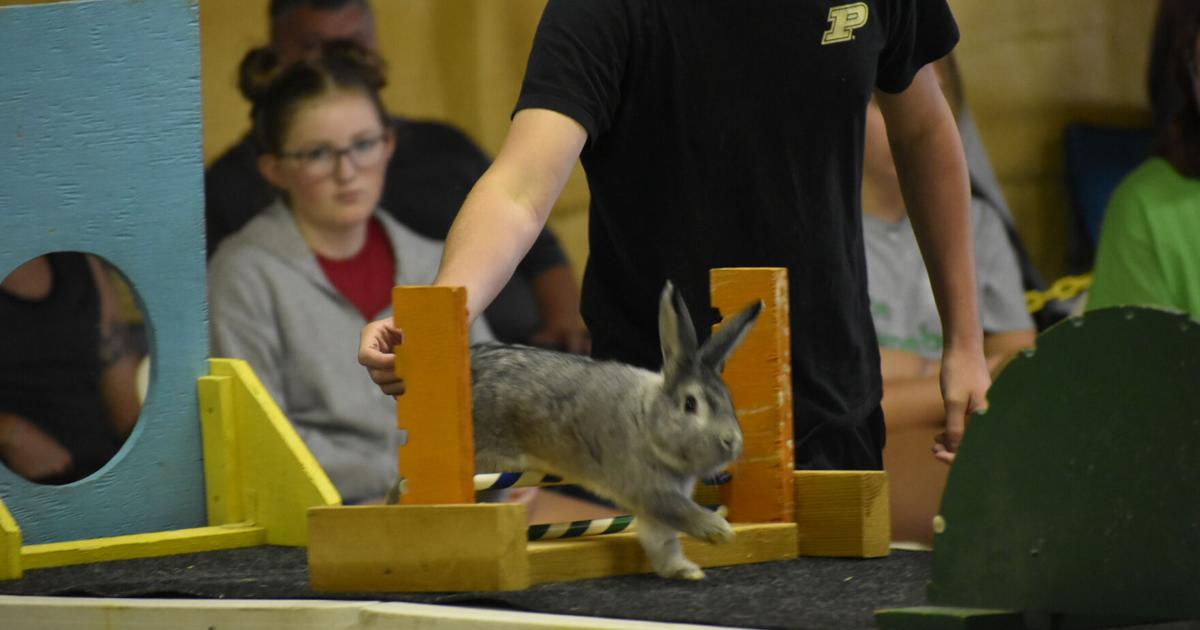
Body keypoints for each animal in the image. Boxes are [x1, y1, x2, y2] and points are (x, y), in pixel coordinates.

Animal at [468, 281, 762, 580]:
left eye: (729, 401)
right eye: (690, 404)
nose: (732, 442)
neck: (645, 420)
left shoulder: (653, 510)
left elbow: (662, 541)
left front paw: (684, 570)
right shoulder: (651, 491)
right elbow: (682, 512)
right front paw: (719, 531)